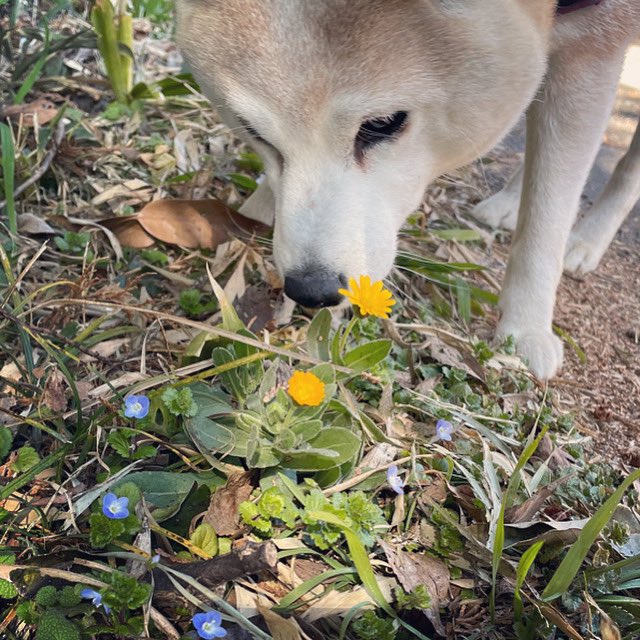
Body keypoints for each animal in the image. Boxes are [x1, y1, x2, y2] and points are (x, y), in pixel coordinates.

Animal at [175, 0, 640, 379]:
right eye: (254, 133)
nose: (312, 289)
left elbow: (548, 212)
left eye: (383, 124)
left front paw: (525, 328)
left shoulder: (594, 49)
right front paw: (258, 207)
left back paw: (586, 240)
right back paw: (509, 202)